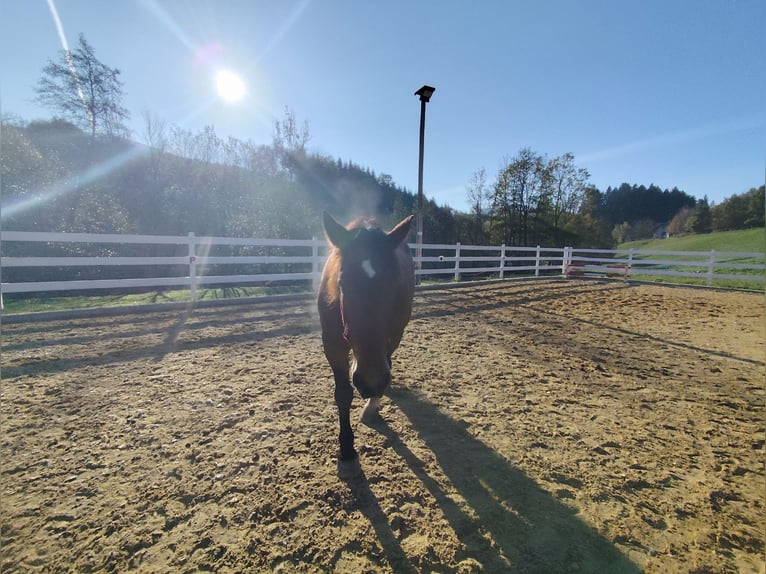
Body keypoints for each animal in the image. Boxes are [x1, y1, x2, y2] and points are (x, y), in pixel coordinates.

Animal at [316, 214, 416, 480]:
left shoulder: (390, 338)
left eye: (394, 282)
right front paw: (347, 452)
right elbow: (343, 394)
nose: (370, 382)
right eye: (342, 282)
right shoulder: (332, 343)